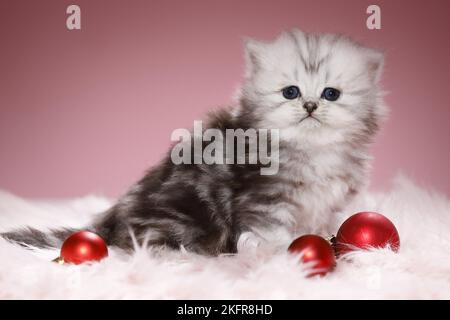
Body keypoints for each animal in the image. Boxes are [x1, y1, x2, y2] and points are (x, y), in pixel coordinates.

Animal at [1, 29, 384, 255]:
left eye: (331, 94)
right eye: (290, 92)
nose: (310, 106)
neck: (312, 150)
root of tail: (112, 221)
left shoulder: (328, 205)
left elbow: (320, 227)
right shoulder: (264, 200)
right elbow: (271, 235)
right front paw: (277, 258)